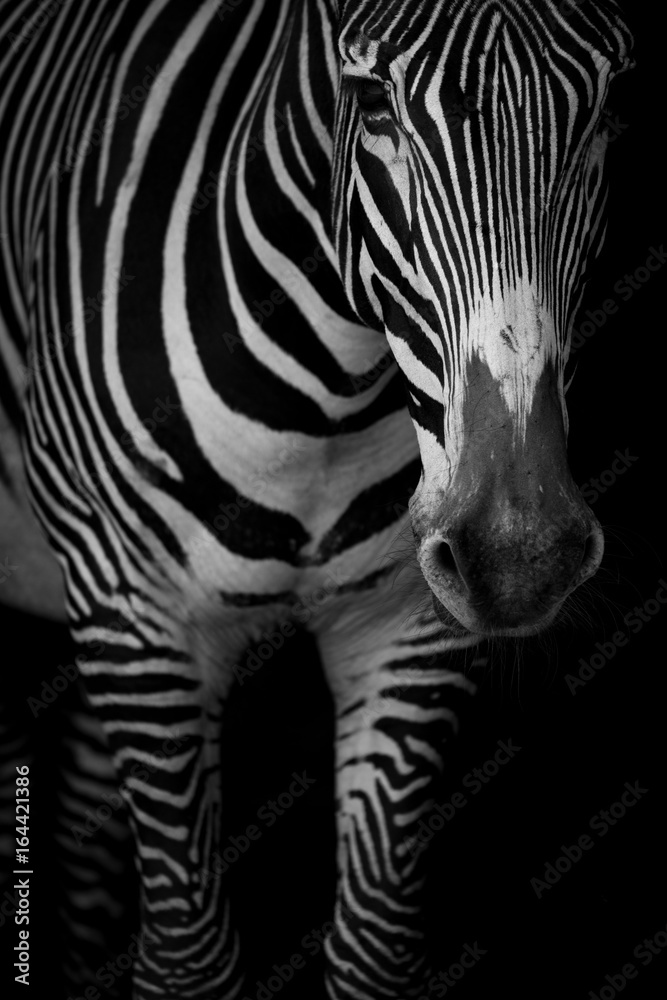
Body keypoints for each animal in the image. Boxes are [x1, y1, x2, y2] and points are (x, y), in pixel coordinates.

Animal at [0, 0, 633, 997]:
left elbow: (372, 947)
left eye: (606, 108)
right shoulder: (133, 613)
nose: (518, 557)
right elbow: (190, 963)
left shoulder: (403, 627)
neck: (323, 397)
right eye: (369, 102)